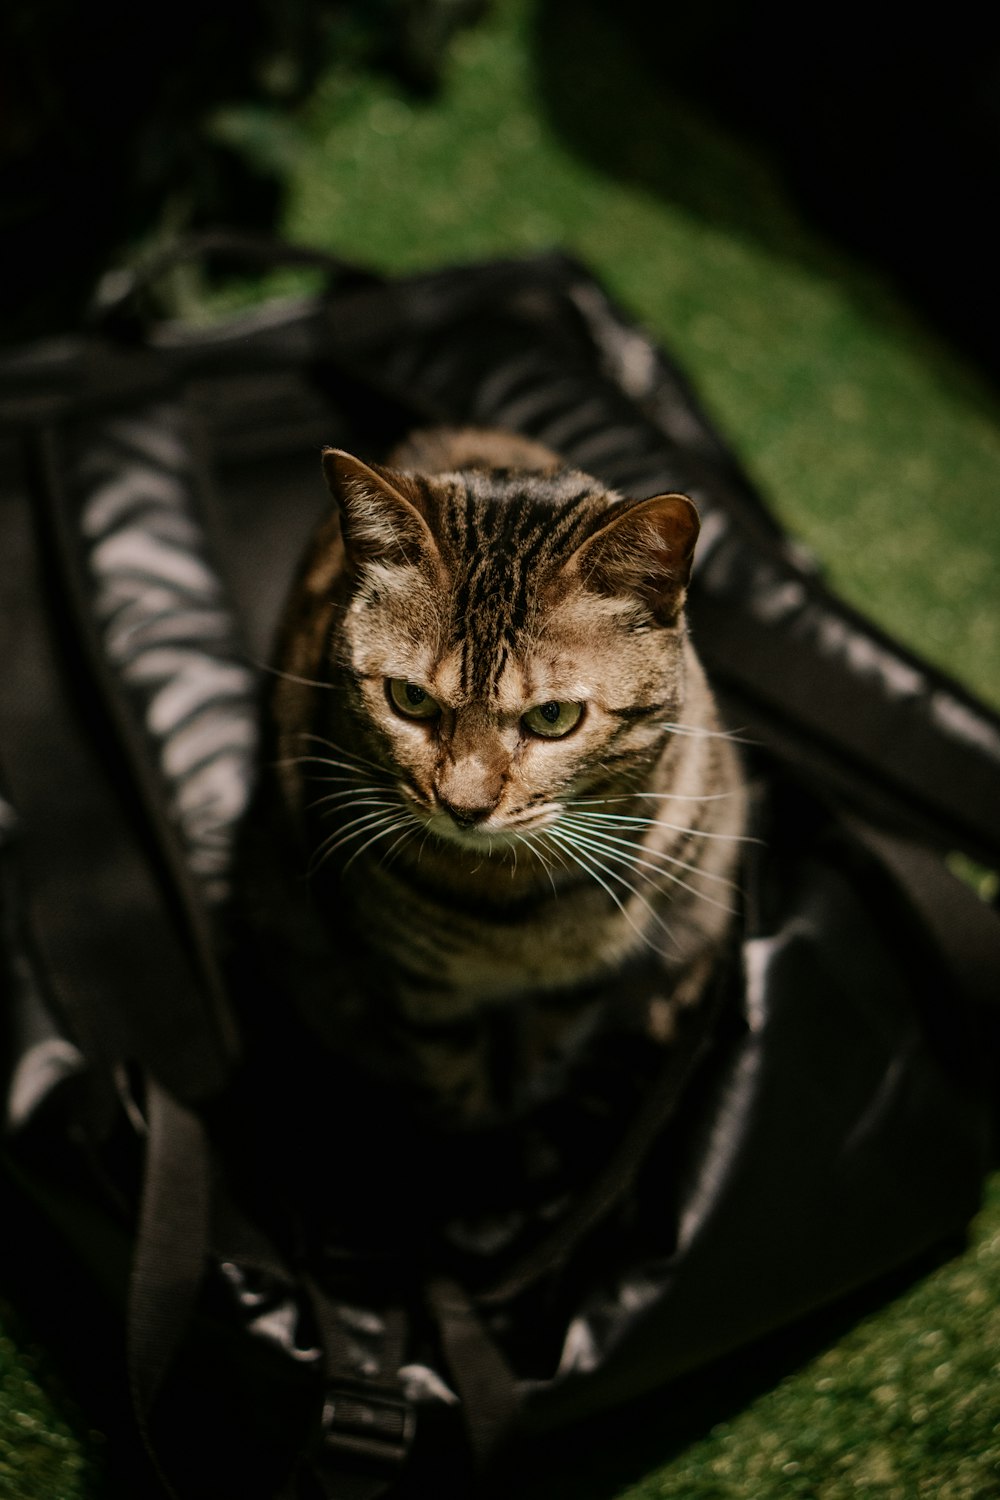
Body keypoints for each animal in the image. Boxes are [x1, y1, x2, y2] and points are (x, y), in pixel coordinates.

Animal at [262, 423, 746, 1128]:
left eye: (553, 716)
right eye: (410, 699)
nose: (463, 807)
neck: (511, 905)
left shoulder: (588, 975)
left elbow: (548, 1048)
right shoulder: (415, 987)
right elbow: (454, 1080)